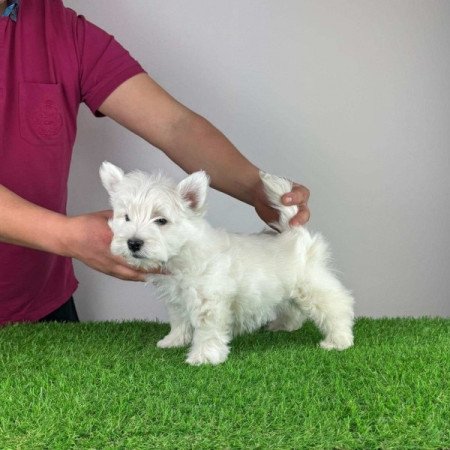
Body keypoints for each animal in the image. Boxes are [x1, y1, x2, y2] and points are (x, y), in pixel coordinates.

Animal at [100, 163, 354, 366]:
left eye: (161, 220)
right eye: (126, 217)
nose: (133, 242)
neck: (184, 253)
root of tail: (294, 234)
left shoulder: (209, 301)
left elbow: (207, 331)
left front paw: (204, 356)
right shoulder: (176, 299)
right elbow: (179, 321)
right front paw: (173, 341)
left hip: (312, 285)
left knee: (336, 307)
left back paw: (338, 340)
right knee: (293, 309)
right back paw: (283, 325)